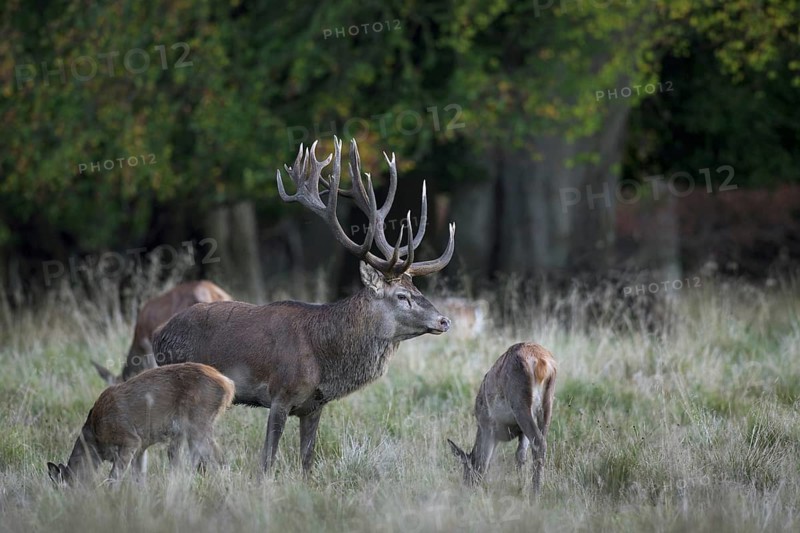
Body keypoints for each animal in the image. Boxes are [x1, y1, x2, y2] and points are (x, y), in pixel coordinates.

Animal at [47, 363, 234, 486]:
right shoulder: (140, 448)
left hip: (198, 423)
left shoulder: (129, 439)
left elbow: (114, 477)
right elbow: (139, 478)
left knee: (220, 459)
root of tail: (227, 383)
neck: (95, 436)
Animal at [138, 136, 456, 476]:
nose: (443, 321)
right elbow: (267, 459)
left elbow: (307, 460)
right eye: (401, 295)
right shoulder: (280, 393)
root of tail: (157, 336)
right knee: (175, 450)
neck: (323, 358)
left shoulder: (314, 405)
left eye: (416, 288)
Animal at [447, 343, 557, 494]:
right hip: (547, 402)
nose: (467, 487)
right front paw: (520, 487)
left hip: (520, 403)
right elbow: (520, 455)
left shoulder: (487, 425)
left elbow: (485, 460)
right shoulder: (520, 432)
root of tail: (543, 362)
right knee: (542, 441)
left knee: (539, 442)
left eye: (466, 471)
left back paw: (536, 493)